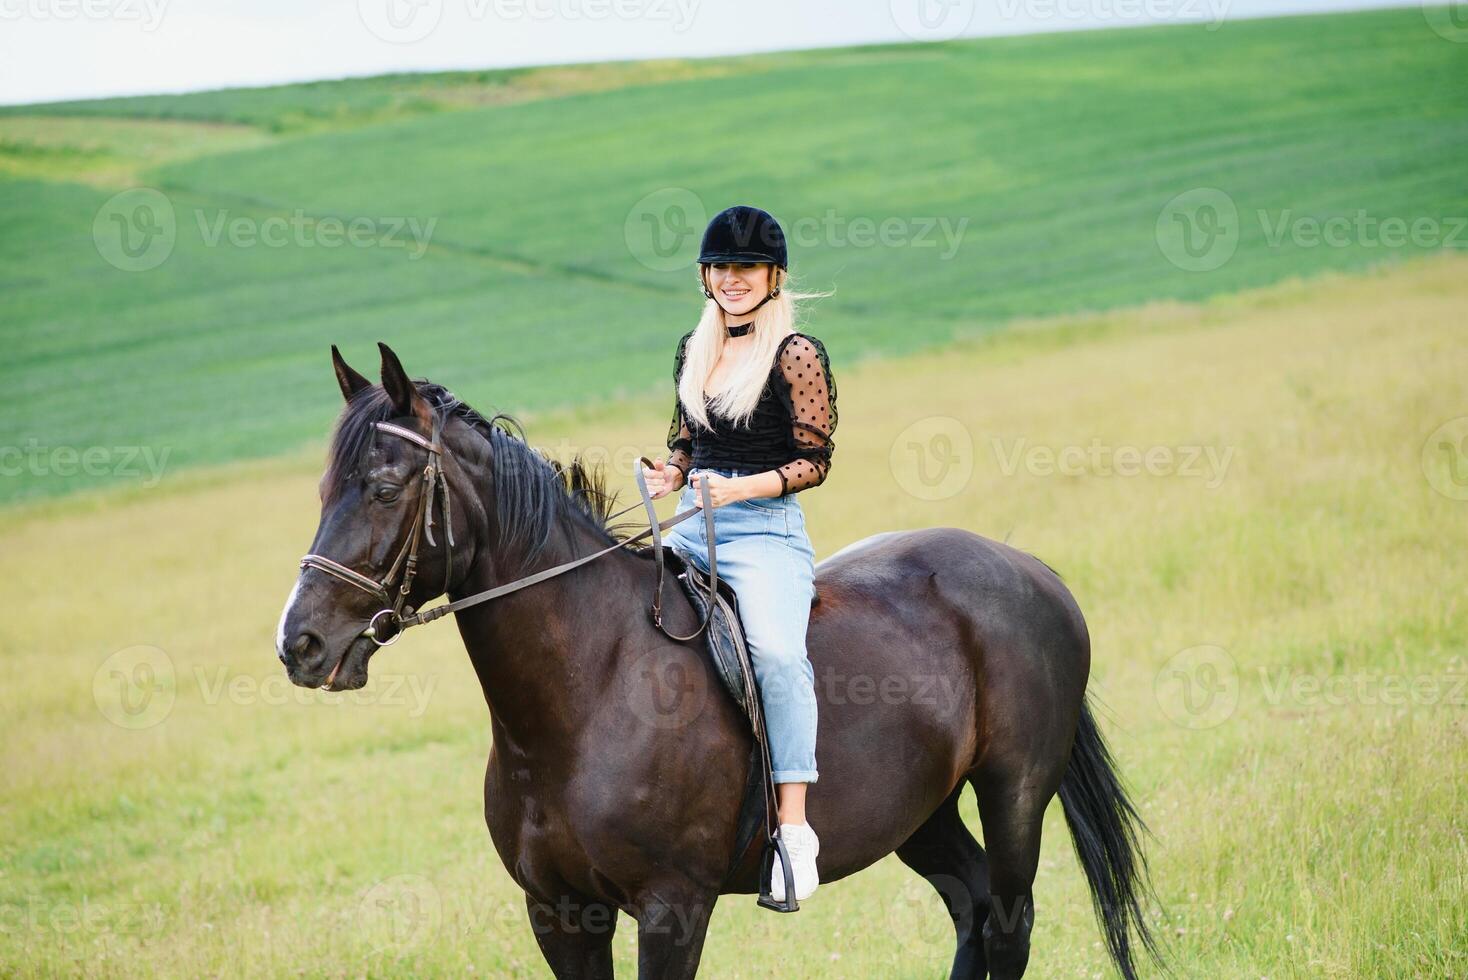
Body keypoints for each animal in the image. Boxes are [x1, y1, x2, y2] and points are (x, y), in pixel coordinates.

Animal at [275, 343, 1156, 974]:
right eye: (323, 491)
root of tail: (1028, 568)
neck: (586, 691)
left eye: (385, 487)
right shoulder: (560, 916)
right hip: (922, 813)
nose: (300, 643)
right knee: (972, 909)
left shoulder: (673, 909)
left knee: (1006, 923)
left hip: (1015, 794)